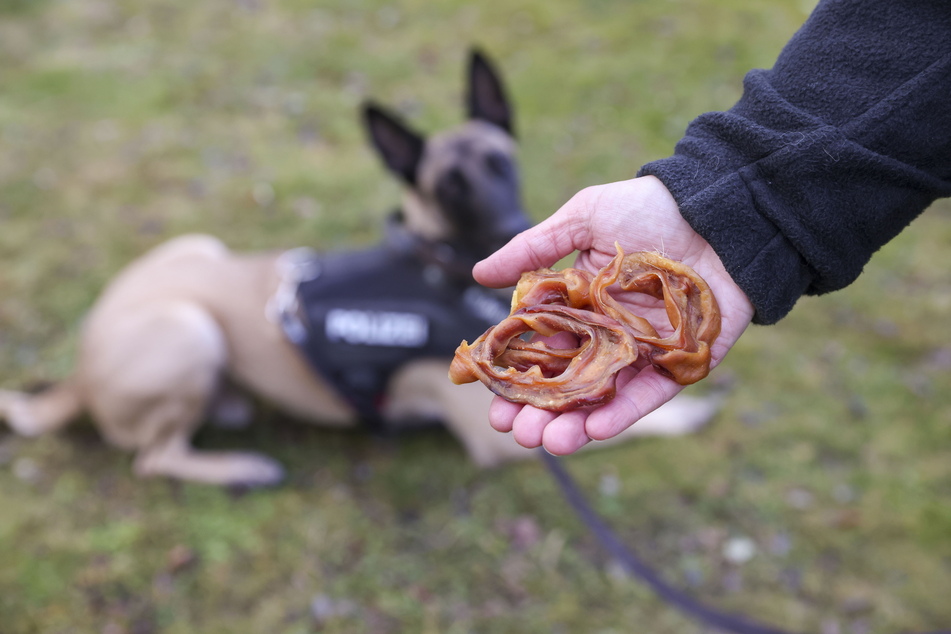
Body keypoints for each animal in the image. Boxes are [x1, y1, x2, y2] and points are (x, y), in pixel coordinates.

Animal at [0, 50, 720, 484]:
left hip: (195, 246)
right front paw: (686, 416)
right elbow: (637, 428)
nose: (511, 230)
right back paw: (240, 467)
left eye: (501, 163)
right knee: (154, 457)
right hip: (186, 331)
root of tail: (80, 375)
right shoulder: (486, 437)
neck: (431, 266)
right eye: (448, 188)